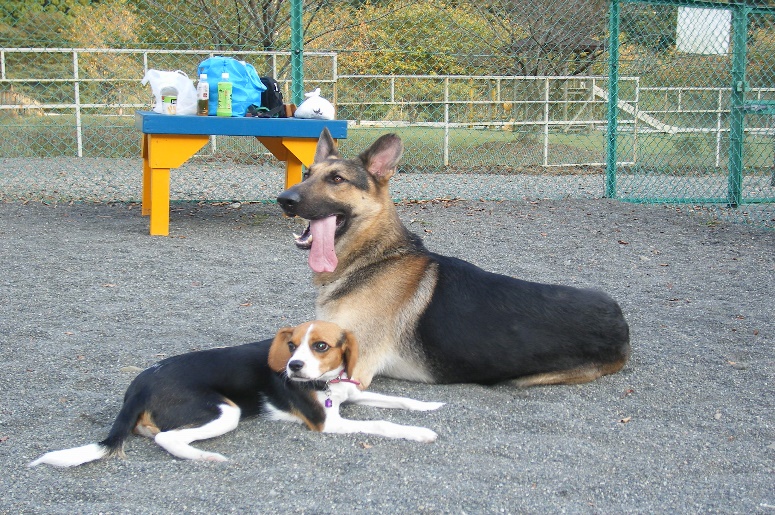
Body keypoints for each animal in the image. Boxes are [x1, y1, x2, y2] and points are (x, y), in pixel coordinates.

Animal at [28, 320, 442, 470]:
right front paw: (419, 433)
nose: (293, 367)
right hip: (225, 411)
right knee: (168, 439)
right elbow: (384, 423)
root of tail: (140, 383)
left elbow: (398, 401)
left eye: (321, 346)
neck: (325, 383)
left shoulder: (348, 397)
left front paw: (428, 405)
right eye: (291, 345)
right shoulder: (328, 422)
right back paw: (206, 456)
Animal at [278, 131, 632, 390]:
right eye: (307, 173)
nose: (284, 200)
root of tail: (620, 319)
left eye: (337, 179)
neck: (373, 259)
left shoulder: (352, 372)